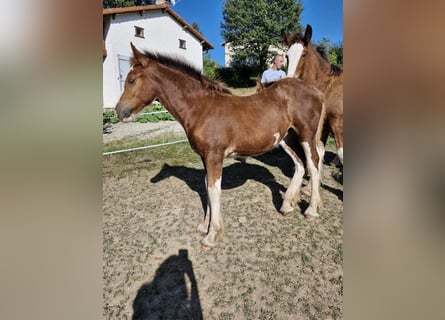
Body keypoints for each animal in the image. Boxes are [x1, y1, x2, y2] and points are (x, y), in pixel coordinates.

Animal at [112, 43, 324, 248]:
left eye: (131, 80)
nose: (118, 111)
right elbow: (207, 186)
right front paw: (204, 226)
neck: (200, 107)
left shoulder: (214, 156)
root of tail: (316, 91)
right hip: (286, 138)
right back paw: (287, 206)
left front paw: (212, 236)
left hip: (306, 134)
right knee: (300, 164)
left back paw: (311, 210)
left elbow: (214, 190)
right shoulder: (204, 157)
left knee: (313, 162)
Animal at [280, 24, 344, 164]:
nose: (290, 81)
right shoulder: (323, 127)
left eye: (304, 54)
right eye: (287, 56)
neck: (327, 88)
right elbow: (320, 153)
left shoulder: (338, 125)